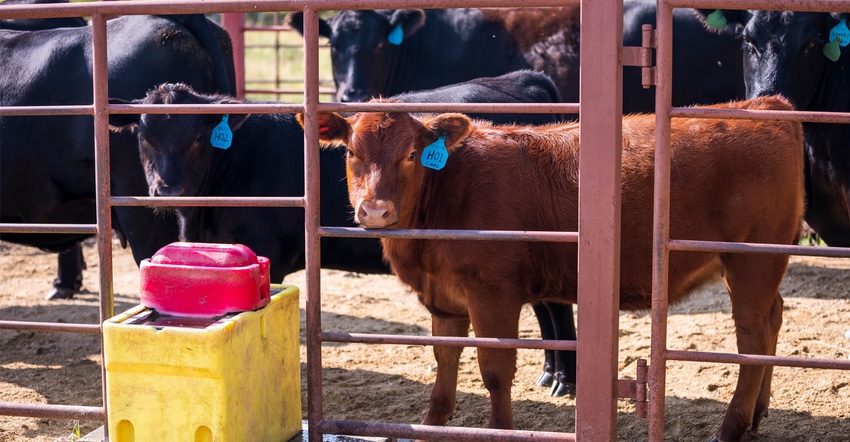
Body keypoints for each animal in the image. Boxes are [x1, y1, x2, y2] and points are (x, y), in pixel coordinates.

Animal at [107, 72, 576, 398]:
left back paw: (564, 380)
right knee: (547, 306)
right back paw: (551, 372)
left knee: (556, 308)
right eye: (144, 135)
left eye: (198, 137)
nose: (168, 189)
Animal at [304, 96, 800, 442]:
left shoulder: (493, 296)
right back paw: (757, 414)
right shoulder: (444, 300)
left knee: (752, 338)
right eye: (350, 152)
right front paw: (431, 425)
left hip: (751, 260)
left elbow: (494, 369)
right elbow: (445, 364)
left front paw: (500, 430)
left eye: (410, 155)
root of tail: (762, 105)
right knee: (773, 318)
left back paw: (731, 427)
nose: (374, 210)